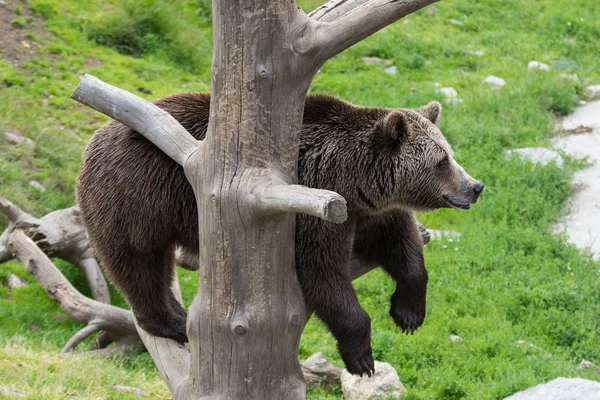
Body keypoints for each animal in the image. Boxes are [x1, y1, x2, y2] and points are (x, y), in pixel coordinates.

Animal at [78, 92, 482, 376]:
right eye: (442, 161)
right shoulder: (319, 204)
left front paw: (409, 313)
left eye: (449, 153)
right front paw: (362, 358)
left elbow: (403, 244)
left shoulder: (370, 211)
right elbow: (323, 271)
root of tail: (93, 139)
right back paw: (172, 320)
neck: (356, 180)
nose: (475, 186)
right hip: (135, 198)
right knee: (139, 263)